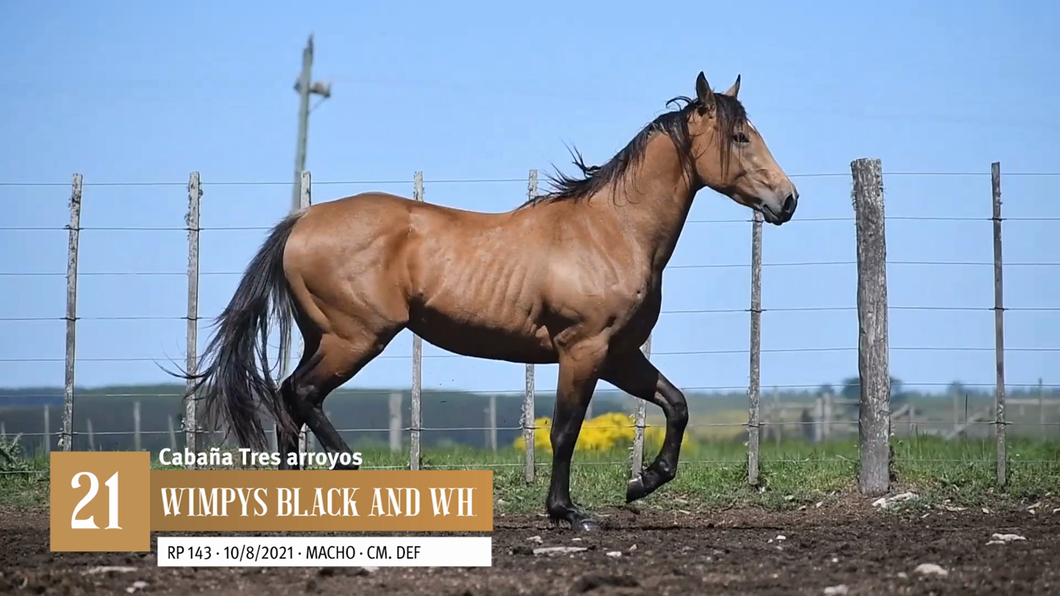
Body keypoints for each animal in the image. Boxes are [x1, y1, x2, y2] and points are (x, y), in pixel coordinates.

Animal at [178, 70, 797, 528]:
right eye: (740, 137)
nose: (788, 199)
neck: (610, 231)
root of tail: (302, 220)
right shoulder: (583, 350)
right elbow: (565, 429)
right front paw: (567, 512)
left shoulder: (619, 353)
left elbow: (677, 404)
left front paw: (642, 482)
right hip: (355, 338)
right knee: (300, 394)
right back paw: (345, 473)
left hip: (324, 336)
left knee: (288, 401)